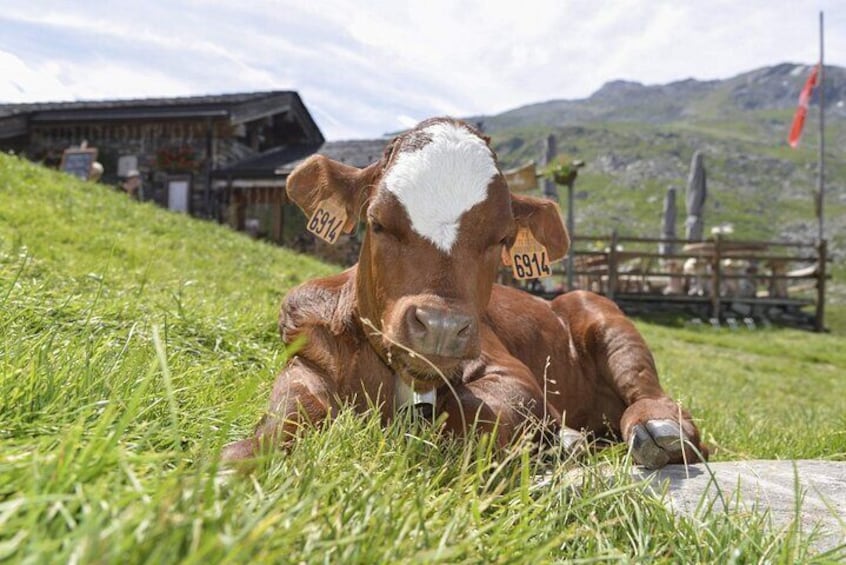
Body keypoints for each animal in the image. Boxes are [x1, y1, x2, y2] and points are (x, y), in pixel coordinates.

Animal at [225, 115, 708, 468]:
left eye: (500, 238)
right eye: (377, 222)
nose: (440, 326)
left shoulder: (513, 379)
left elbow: (465, 411)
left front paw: (553, 439)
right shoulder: (307, 357)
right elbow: (287, 412)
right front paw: (242, 461)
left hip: (603, 315)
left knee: (647, 391)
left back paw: (658, 430)